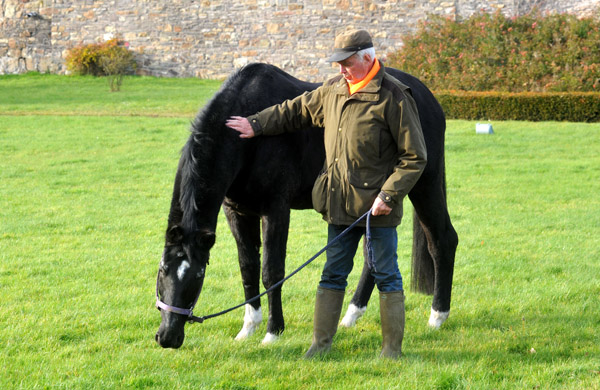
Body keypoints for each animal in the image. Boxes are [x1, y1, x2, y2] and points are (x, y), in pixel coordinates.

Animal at [155, 62, 460, 348]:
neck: (249, 140)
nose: (167, 336)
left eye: (198, 275)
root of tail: (427, 97)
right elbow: (248, 267)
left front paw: (273, 332)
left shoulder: (275, 210)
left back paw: (437, 316)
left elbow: (272, 271)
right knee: (372, 254)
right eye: (163, 270)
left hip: (423, 185)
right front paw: (248, 327)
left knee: (442, 240)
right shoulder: (237, 212)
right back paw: (351, 315)